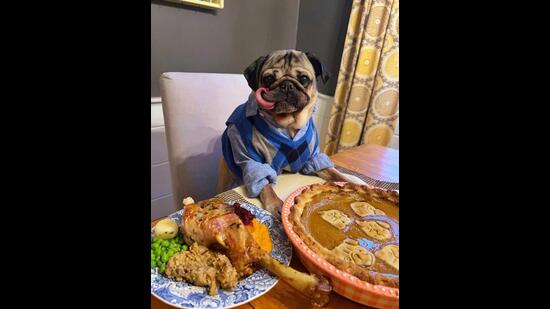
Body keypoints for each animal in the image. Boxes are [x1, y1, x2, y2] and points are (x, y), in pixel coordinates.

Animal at [222, 49, 360, 215]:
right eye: (269, 79)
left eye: (304, 79)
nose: (287, 85)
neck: (289, 126)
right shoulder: (253, 162)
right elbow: (266, 185)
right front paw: (276, 204)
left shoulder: (314, 158)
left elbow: (334, 172)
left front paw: (353, 184)